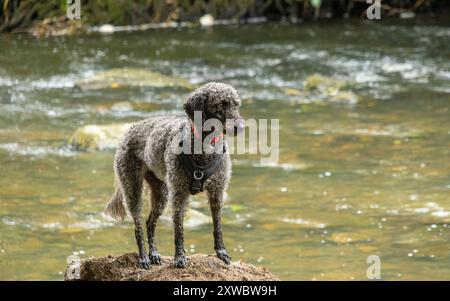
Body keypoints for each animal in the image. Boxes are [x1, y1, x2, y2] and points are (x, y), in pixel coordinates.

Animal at [104, 82, 244, 268]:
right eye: (222, 104)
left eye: (236, 104)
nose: (240, 127)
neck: (204, 147)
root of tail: (130, 129)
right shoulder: (179, 194)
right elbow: (179, 229)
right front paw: (179, 257)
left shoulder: (217, 192)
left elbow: (218, 226)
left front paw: (221, 252)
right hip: (132, 188)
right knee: (138, 225)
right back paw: (143, 257)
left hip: (161, 193)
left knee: (150, 223)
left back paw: (154, 254)